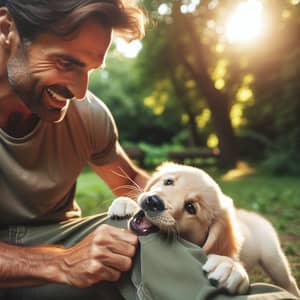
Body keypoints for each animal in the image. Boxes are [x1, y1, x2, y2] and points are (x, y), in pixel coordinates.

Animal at [109, 163, 298, 296]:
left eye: (191, 207)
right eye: (168, 182)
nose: (153, 202)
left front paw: (229, 267)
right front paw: (125, 203)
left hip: (274, 259)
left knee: (288, 281)